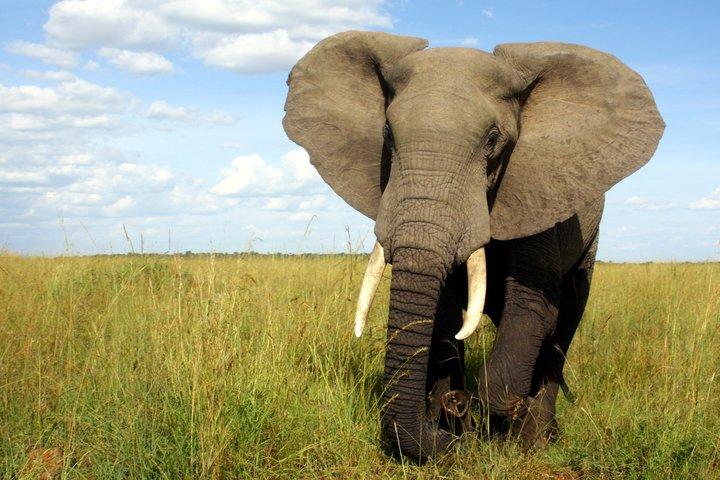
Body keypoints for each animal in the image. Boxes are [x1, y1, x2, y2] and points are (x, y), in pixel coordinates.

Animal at [282, 31, 664, 463]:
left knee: (564, 324)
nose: (448, 420)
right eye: (388, 134)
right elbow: (446, 309)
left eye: (493, 140)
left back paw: (537, 440)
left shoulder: (537, 192)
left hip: (589, 243)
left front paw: (486, 420)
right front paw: (454, 419)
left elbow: (532, 306)